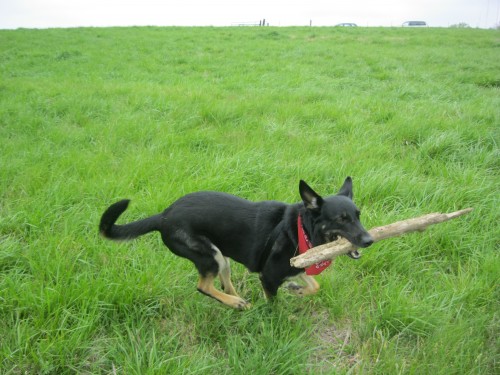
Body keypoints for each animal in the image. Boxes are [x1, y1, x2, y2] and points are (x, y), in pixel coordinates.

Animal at [98, 178, 372, 310]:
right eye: (341, 219)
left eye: (358, 215)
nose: (369, 240)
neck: (301, 230)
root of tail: (163, 216)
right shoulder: (269, 276)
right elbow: (274, 304)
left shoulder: (298, 265)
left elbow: (315, 285)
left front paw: (298, 289)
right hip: (209, 255)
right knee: (203, 287)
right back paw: (235, 303)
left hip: (223, 257)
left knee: (223, 283)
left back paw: (237, 299)